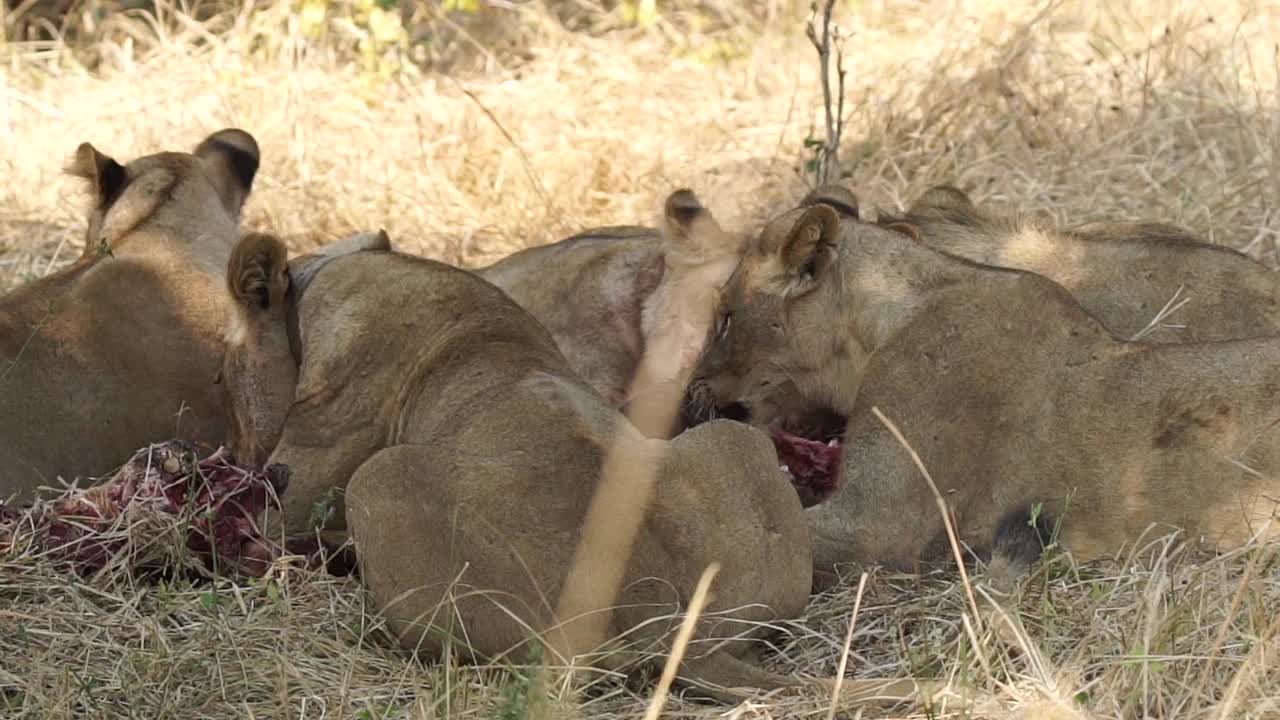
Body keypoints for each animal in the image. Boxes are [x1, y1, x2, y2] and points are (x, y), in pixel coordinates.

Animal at [212, 233, 931, 702]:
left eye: (220, 374)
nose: (234, 451)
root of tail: (661, 616)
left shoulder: (315, 451)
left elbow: (275, 515)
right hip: (738, 448)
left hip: (382, 481)